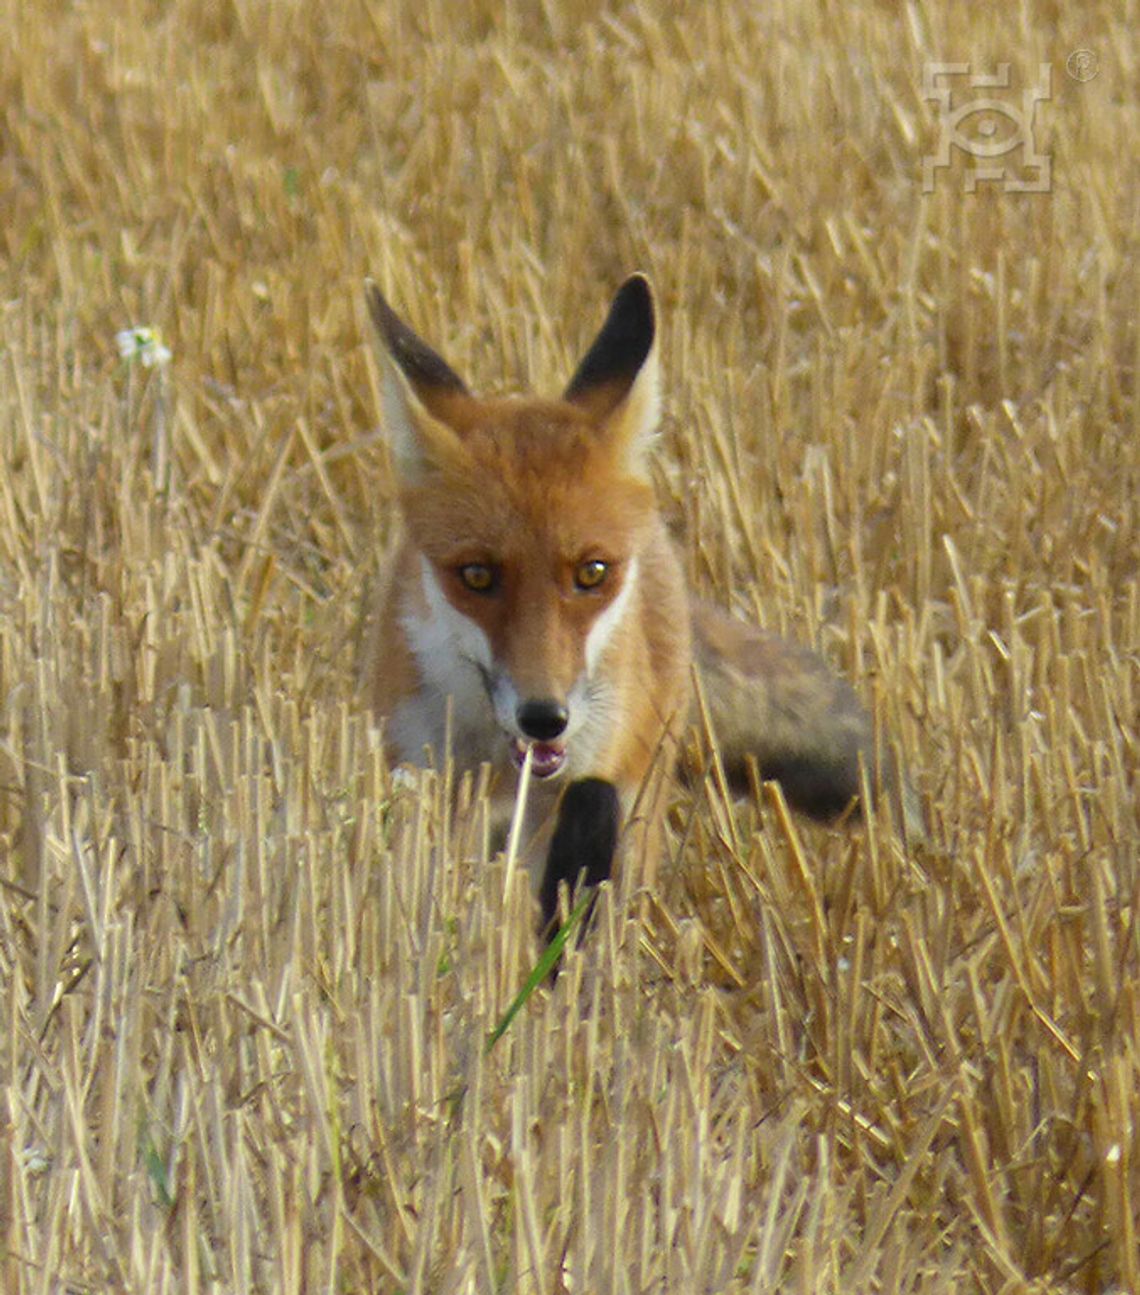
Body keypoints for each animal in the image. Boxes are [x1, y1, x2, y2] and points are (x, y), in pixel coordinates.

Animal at [360, 273, 922, 932]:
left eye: (592, 572)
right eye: (476, 575)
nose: (544, 716)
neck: (502, 764)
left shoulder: (581, 795)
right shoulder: (422, 776)